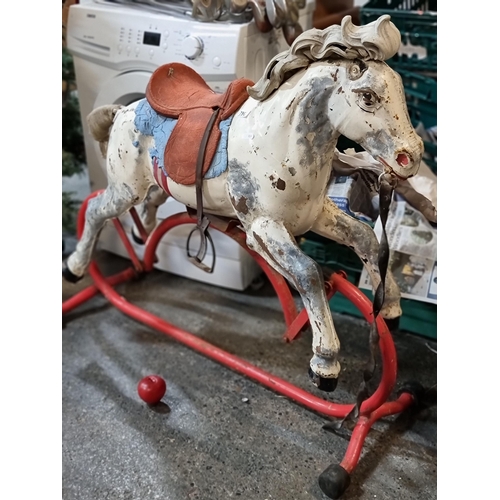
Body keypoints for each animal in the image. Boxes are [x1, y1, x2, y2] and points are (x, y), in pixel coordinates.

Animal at [61, 14, 422, 390]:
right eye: (367, 96)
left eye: (400, 87)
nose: (411, 157)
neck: (277, 142)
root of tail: (122, 110)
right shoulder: (263, 228)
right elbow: (307, 272)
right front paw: (325, 362)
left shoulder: (314, 215)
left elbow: (364, 238)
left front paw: (391, 308)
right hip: (125, 188)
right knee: (97, 211)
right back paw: (75, 268)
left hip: (156, 182)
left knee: (153, 200)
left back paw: (141, 236)